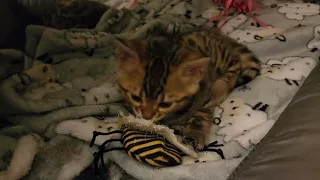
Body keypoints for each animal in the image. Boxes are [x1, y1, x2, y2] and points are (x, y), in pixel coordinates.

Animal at [115, 28, 260, 149]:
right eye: (135, 98)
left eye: (165, 104)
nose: (146, 117)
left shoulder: (203, 95)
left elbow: (200, 113)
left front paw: (196, 132)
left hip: (219, 57)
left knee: (235, 64)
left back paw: (219, 88)